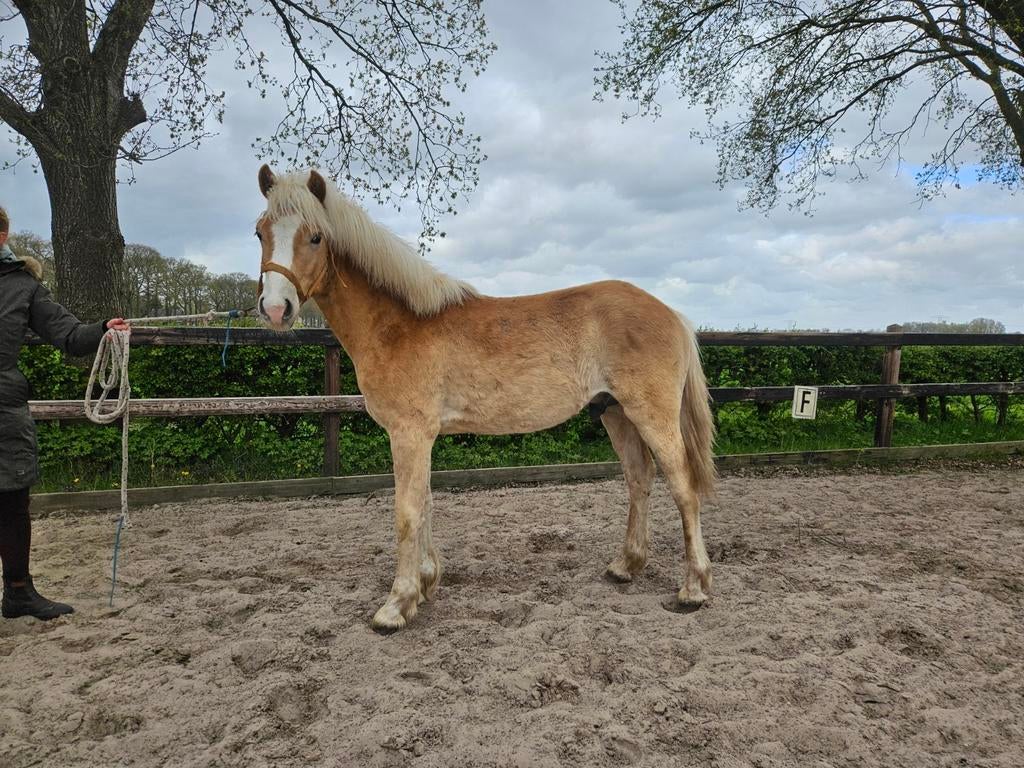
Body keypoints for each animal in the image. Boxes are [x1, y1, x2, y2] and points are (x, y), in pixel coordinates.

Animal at [254, 165, 717, 631]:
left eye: (316, 237)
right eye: (260, 232)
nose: (276, 309)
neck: (400, 324)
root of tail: (672, 314)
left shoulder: (409, 433)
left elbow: (407, 511)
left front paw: (397, 604)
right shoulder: (420, 437)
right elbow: (425, 502)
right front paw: (426, 583)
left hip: (652, 415)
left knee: (683, 487)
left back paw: (693, 588)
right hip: (615, 413)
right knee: (639, 478)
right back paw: (625, 566)